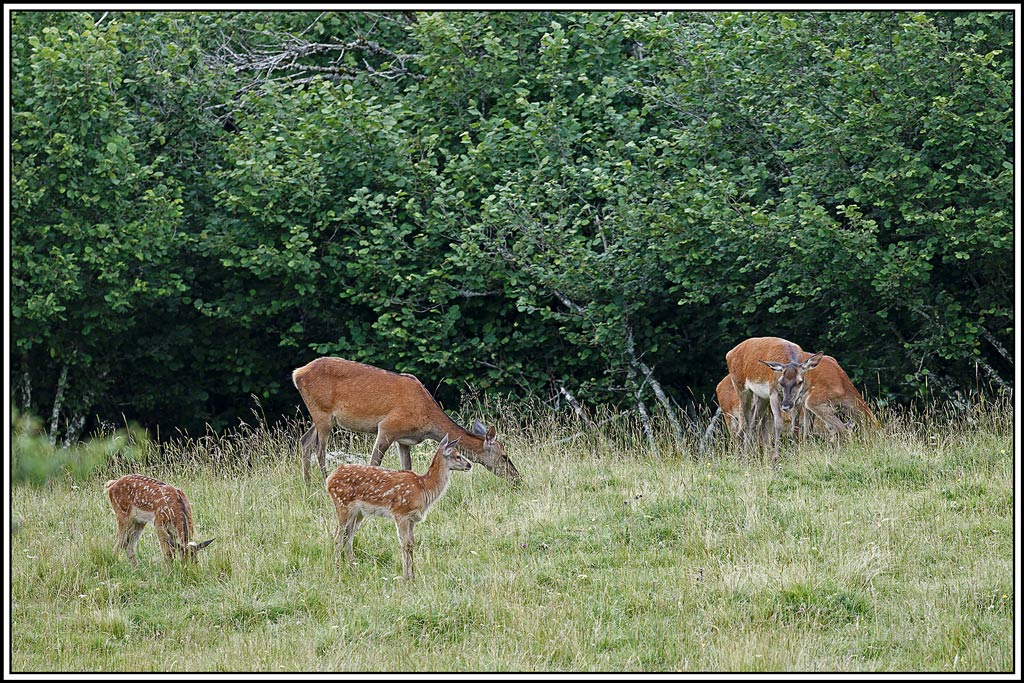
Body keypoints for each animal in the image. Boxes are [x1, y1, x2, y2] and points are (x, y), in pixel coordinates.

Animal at [292, 356, 520, 485]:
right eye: (504, 456)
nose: (516, 478)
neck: (426, 418)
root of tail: (297, 373)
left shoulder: (404, 440)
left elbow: (407, 467)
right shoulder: (387, 427)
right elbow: (374, 462)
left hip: (321, 416)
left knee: (305, 441)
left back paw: (307, 483)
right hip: (322, 412)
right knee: (320, 449)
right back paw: (323, 482)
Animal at [326, 433, 471, 581]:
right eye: (457, 456)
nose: (469, 465)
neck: (423, 487)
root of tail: (329, 479)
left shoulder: (412, 518)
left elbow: (411, 543)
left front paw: (412, 576)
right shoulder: (401, 513)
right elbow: (404, 543)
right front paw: (405, 577)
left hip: (358, 513)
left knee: (348, 537)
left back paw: (354, 572)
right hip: (342, 504)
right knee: (337, 536)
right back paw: (337, 574)